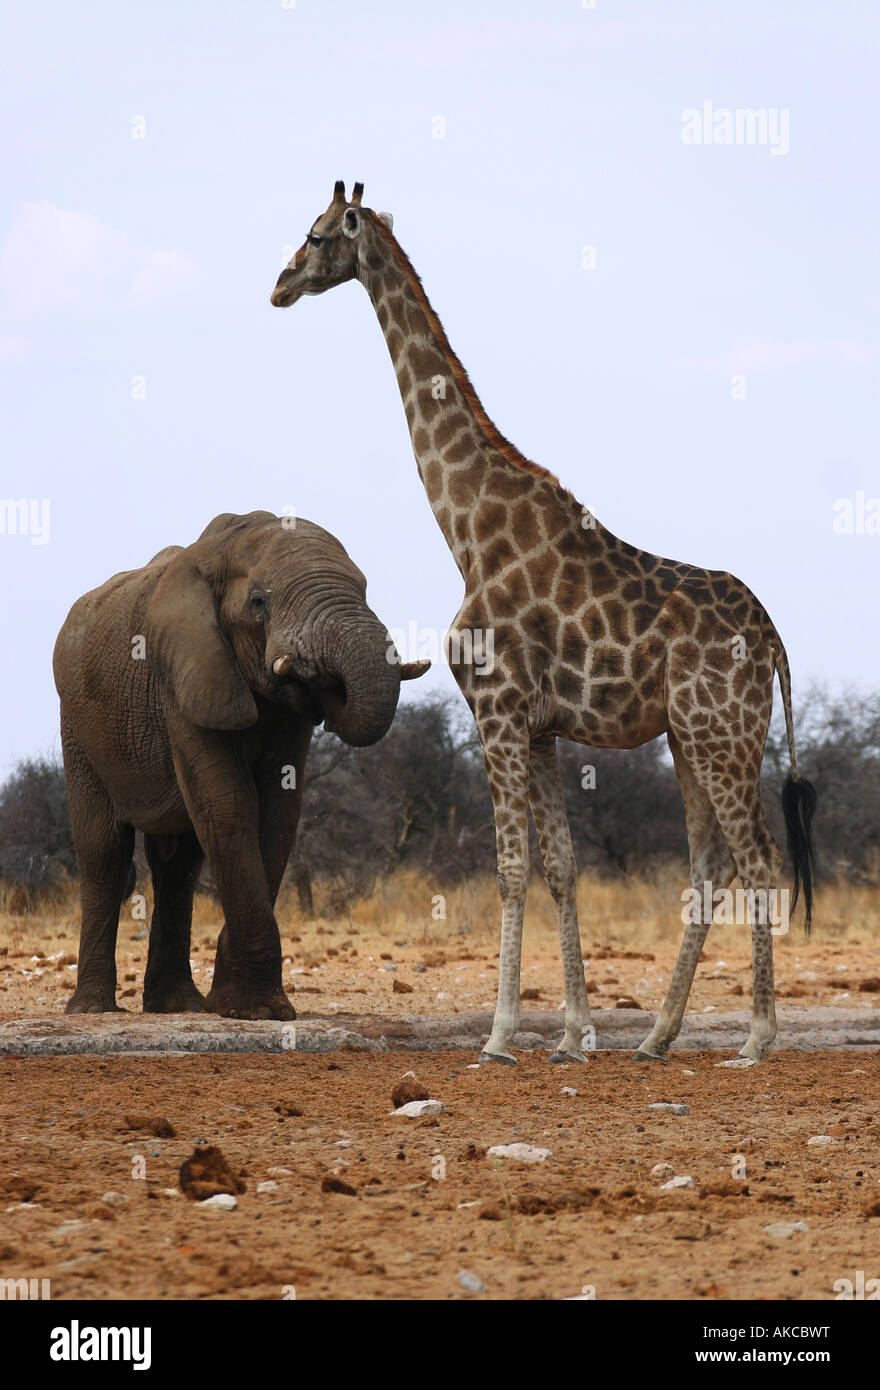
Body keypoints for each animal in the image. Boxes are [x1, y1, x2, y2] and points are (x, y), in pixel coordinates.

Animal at [53, 510, 429, 1020]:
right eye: (258, 602)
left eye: (365, 588)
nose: (324, 680)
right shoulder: (182, 677)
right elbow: (228, 805)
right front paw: (256, 1012)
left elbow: (279, 811)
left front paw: (242, 1007)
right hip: (78, 727)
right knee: (104, 853)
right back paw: (93, 1011)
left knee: (178, 865)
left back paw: (179, 1006)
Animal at [270, 181, 818, 1066]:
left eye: (318, 235)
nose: (279, 284)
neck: (467, 532)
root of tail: (772, 635)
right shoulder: (541, 726)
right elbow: (561, 865)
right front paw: (573, 1034)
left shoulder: (496, 709)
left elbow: (512, 868)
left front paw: (499, 1035)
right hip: (693, 737)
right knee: (709, 865)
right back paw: (656, 1036)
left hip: (722, 732)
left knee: (760, 860)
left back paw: (757, 1038)